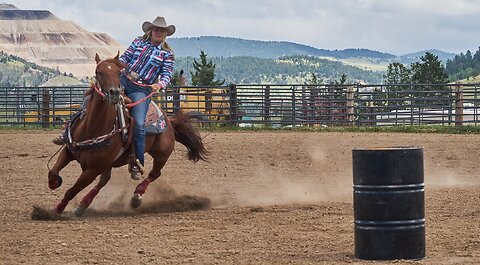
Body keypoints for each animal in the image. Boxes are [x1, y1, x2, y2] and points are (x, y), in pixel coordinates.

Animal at [47, 52, 207, 216]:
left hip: (162, 154)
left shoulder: (92, 170)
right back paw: (83, 205)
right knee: (104, 180)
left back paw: (137, 196)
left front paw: (56, 211)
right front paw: (55, 184)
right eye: (99, 72)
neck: (92, 130)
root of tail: (169, 120)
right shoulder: (69, 151)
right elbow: (53, 172)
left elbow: (72, 190)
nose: (115, 93)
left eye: (118, 72)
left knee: (154, 174)